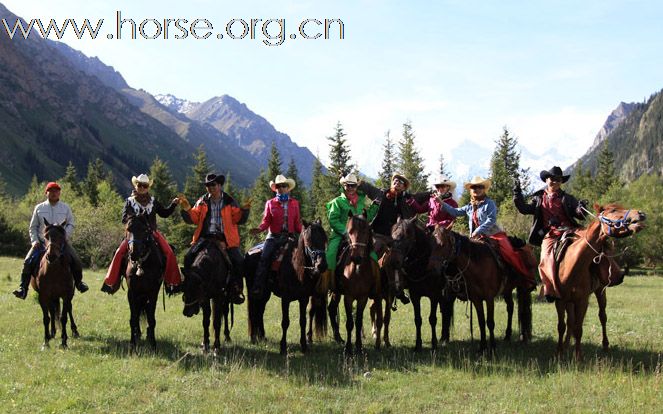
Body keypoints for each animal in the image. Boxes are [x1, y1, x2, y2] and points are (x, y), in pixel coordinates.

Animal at [32, 220, 75, 350]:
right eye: (46, 236)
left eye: (61, 237)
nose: (51, 256)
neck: (54, 271)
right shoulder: (43, 296)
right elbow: (46, 318)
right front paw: (45, 342)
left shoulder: (66, 295)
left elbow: (63, 317)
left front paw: (64, 342)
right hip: (52, 296)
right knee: (52, 311)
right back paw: (52, 333)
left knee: (69, 309)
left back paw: (75, 331)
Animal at [125, 213, 165, 352]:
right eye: (128, 229)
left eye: (144, 230)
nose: (133, 253)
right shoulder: (132, 293)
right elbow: (133, 318)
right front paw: (132, 345)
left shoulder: (153, 293)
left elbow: (151, 318)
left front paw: (153, 344)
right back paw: (137, 334)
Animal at [245, 222, 328, 354]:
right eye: (308, 241)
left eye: (324, 240)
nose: (322, 265)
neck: (296, 268)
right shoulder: (285, 298)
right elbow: (285, 322)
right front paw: (283, 347)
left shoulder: (303, 299)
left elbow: (303, 321)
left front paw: (304, 345)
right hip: (253, 291)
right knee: (254, 310)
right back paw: (253, 337)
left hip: (265, 293)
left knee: (260, 310)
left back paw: (262, 337)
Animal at [328, 213, 382, 356]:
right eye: (350, 231)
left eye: (366, 230)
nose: (356, 258)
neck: (357, 270)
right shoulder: (348, 297)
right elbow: (349, 323)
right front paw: (348, 348)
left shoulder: (362, 298)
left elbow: (358, 321)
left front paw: (358, 347)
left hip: (336, 293)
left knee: (331, 309)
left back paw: (338, 338)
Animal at [552, 204, 644, 360]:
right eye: (613, 210)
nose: (641, 214)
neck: (572, 265)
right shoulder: (561, 300)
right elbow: (562, 326)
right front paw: (559, 353)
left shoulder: (582, 301)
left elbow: (579, 328)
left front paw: (578, 357)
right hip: (570, 301)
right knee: (570, 321)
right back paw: (566, 345)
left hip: (600, 291)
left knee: (602, 316)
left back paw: (605, 345)